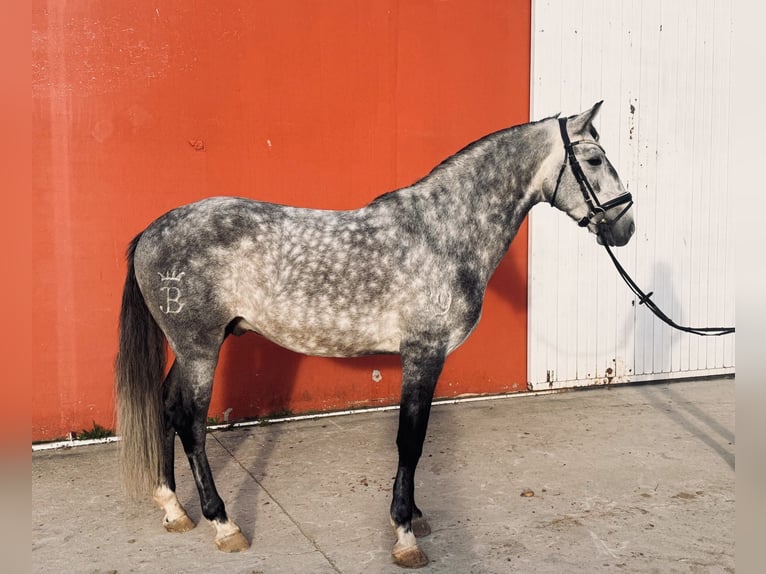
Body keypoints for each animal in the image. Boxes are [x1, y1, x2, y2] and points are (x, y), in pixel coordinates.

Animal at [115, 101, 635, 568]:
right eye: (594, 160)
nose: (625, 226)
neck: (442, 234)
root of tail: (152, 231)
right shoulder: (424, 354)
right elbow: (411, 440)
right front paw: (405, 534)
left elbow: (415, 440)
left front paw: (414, 516)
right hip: (200, 349)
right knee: (191, 424)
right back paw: (223, 524)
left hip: (190, 348)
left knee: (165, 407)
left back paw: (174, 508)